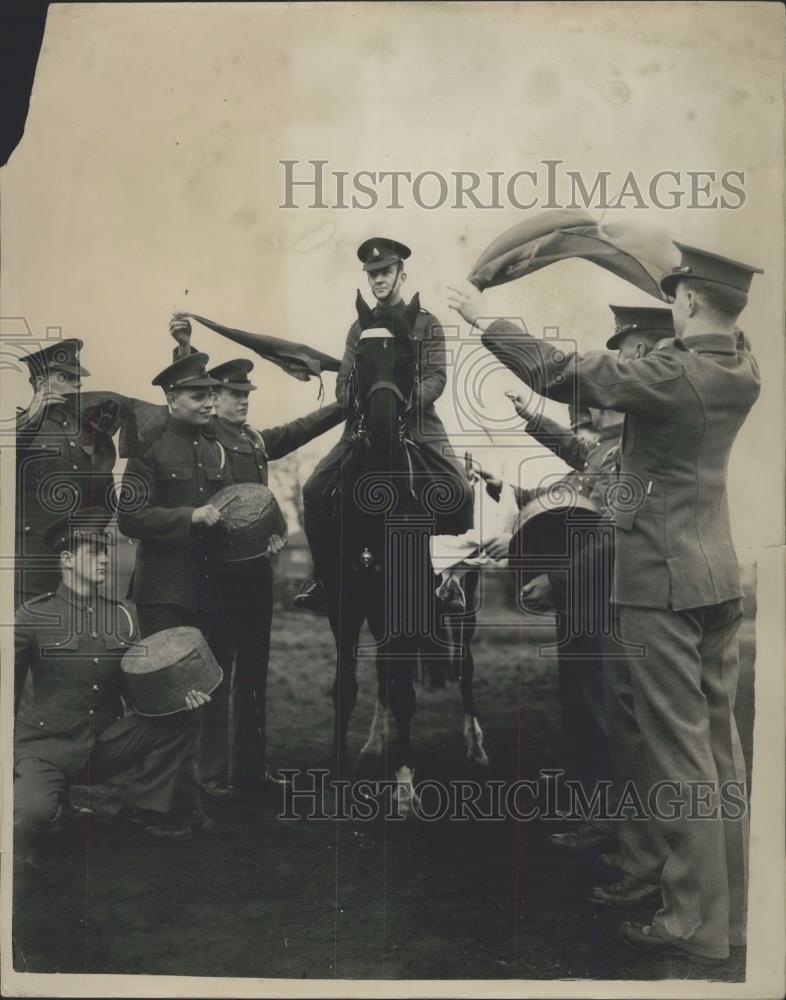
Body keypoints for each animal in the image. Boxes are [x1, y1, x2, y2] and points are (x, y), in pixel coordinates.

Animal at [320, 290, 480, 804]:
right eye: (359, 359)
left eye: (408, 358)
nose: (384, 429)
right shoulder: (347, 606)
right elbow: (348, 686)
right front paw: (338, 772)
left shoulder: (406, 606)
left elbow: (406, 691)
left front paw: (405, 784)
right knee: (385, 676)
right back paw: (375, 744)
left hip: (465, 604)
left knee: (463, 666)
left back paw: (476, 746)